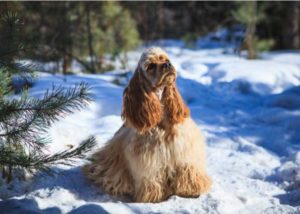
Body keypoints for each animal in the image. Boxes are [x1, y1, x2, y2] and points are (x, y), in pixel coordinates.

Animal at [83, 46, 212, 202]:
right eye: (150, 66)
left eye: (166, 59)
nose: (167, 65)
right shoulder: (148, 162)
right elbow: (152, 179)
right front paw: (154, 196)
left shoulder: (184, 154)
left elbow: (188, 172)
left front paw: (192, 190)